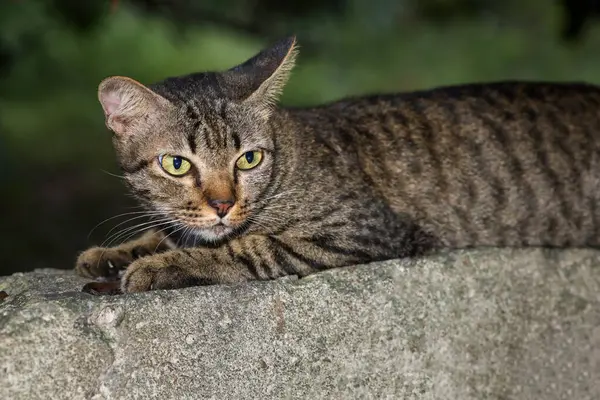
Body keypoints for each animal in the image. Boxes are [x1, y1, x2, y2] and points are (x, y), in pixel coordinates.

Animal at [75, 36, 600, 292]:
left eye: (249, 159)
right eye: (177, 165)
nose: (223, 204)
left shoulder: (360, 229)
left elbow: (248, 248)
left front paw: (160, 264)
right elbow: (168, 231)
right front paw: (118, 251)